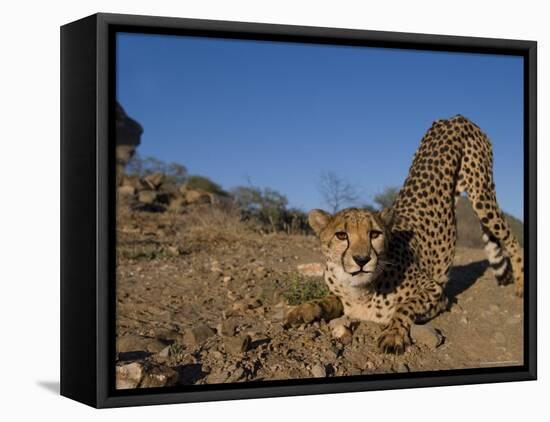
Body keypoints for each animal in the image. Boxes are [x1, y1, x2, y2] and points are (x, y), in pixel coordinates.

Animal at [288, 114, 528, 352]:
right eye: (341, 235)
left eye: (374, 234)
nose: (362, 259)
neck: (360, 291)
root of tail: (455, 117)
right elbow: (325, 300)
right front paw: (302, 310)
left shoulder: (437, 293)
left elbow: (404, 307)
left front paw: (393, 334)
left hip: (481, 193)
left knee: (512, 240)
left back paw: (520, 286)